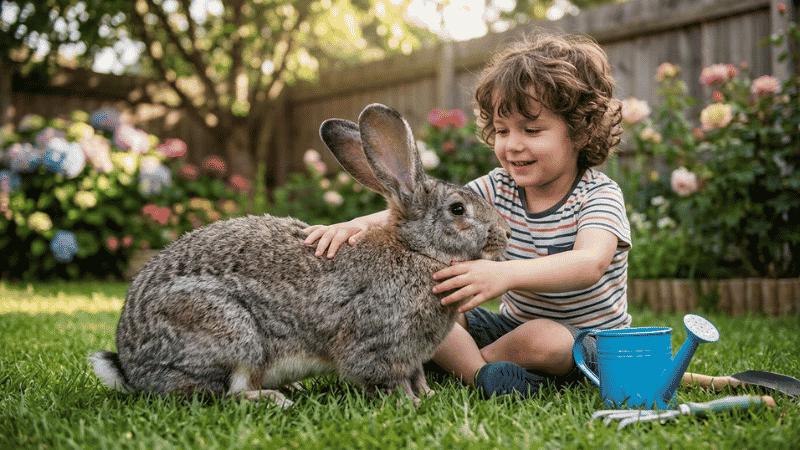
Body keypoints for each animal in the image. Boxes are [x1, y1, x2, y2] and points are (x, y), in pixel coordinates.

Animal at [89, 103, 510, 407]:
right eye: (458, 209)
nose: (504, 235)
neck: (416, 249)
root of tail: (132, 367)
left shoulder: (413, 357)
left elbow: (417, 376)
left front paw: (428, 395)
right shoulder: (380, 344)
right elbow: (388, 379)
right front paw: (412, 405)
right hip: (230, 334)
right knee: (226, 394)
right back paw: (275, 399)